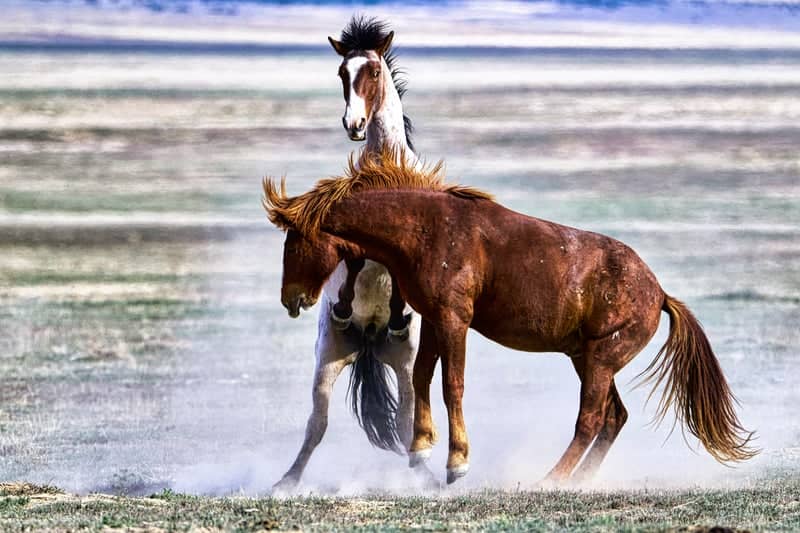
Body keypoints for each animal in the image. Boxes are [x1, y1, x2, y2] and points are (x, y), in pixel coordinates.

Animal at [263, 149, 758, 486]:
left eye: (294, 242)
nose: (292, 299)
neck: (428, 229)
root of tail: (658, 294)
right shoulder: (434, 321)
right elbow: (422, 378)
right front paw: (420, 450)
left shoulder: (454, 321)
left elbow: (452, 384)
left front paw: (457, 462)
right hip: (587, 359)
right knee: (614, 417)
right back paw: (576, 482)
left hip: (600, 360)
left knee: (591, 419)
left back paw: (551, 480)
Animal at [272, 17, 424, 492]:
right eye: (342, 72)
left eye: (373, 70)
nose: (354, 123)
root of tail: (371, 341)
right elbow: (353, 261)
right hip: (329, 356)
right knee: (317, 423)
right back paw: (286, 481)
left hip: (408, 362)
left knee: (410, 421)